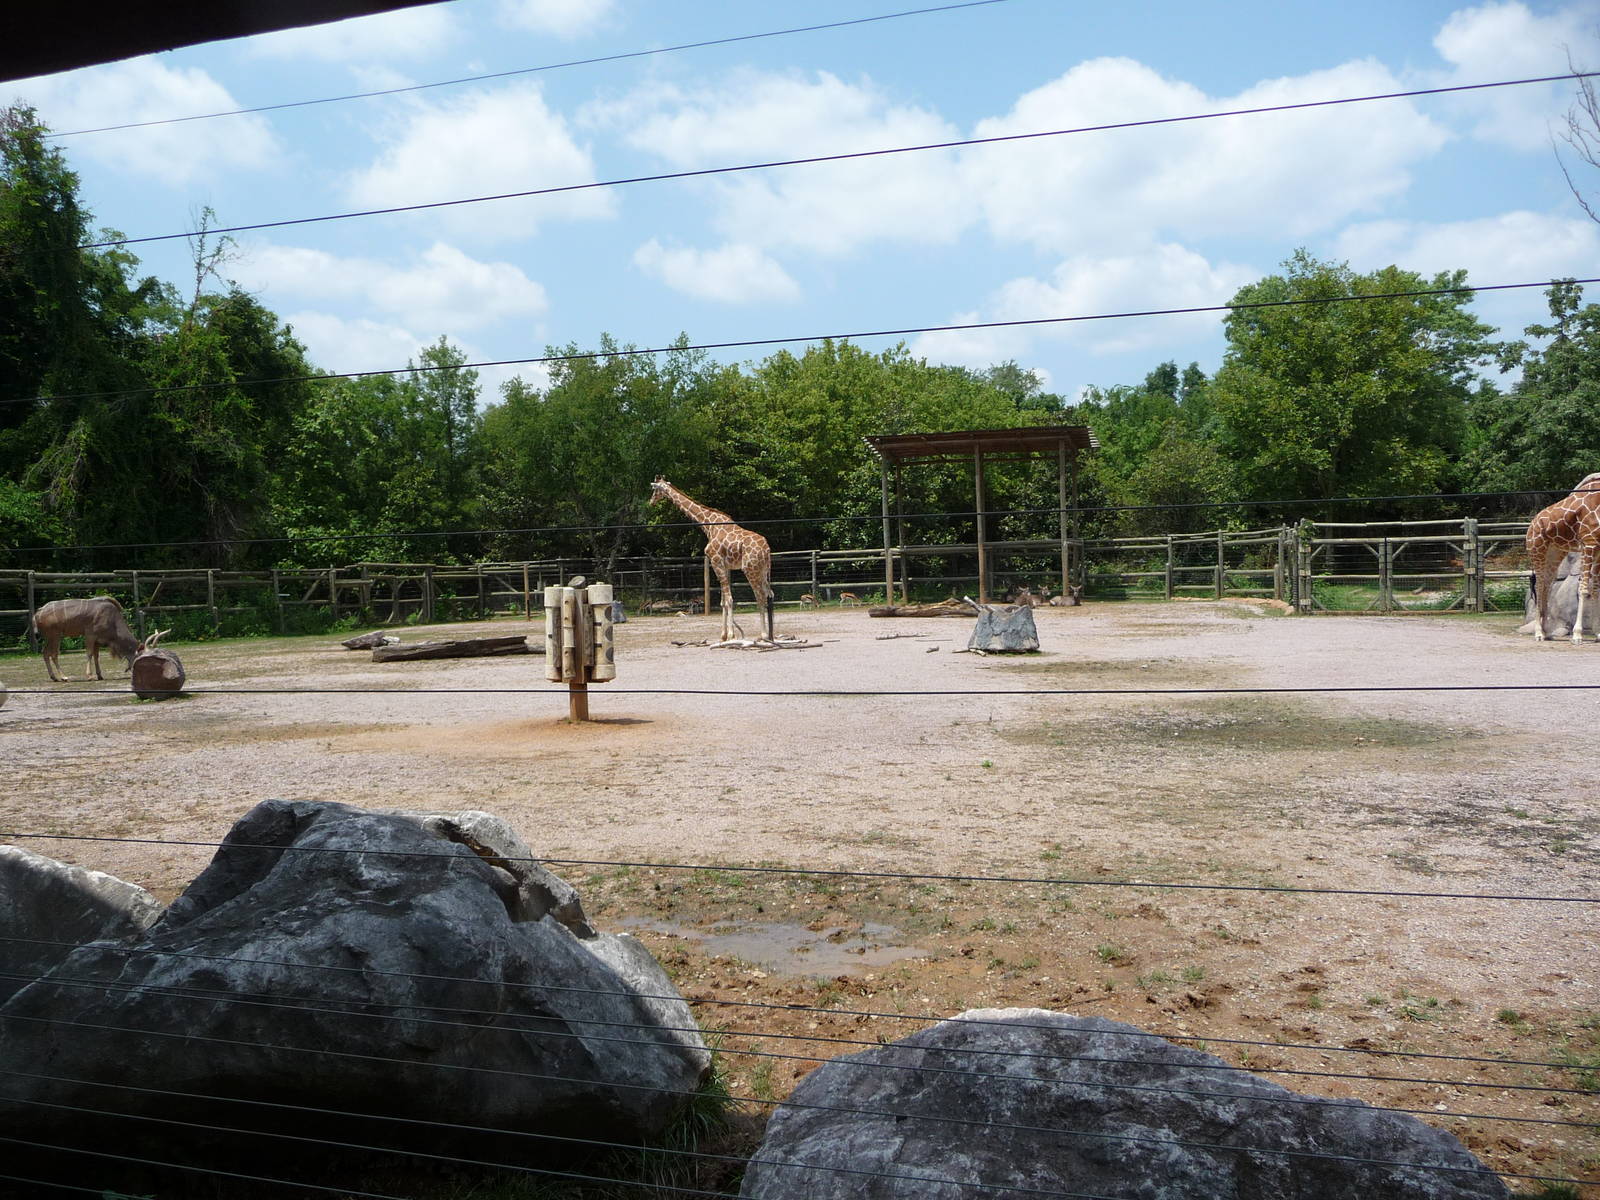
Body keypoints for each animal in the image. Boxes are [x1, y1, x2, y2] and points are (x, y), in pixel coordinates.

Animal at [32, 597, 165, 682]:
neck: (113, 619)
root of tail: (38, 613)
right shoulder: (90, 635)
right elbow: (89, 653)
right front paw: (90, 676)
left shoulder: (97, 640)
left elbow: (96, 656)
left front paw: (100, 675)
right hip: (56, 635)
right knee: (54, 654)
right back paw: (63, 677)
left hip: (50, 637)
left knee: (45, 652)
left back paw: (53, 677)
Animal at [649, 477, 774, 643]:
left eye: (655, 490)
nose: (651, 502)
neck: (708, 526)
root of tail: (766, 549)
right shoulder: (724, 566)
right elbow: (723, 602)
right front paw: (723, 636)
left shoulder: (716, 562)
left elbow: (729, 600)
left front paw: (731, 635)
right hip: (763, 570)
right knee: (769, 594)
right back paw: (770, 635)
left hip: (750, 570)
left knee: (760, 597)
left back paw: (764, 636)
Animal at [1525, 471, 1600, 644]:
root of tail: (1531, 524)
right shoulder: (1589, 543)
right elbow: (1583, 589)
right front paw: (1577, 635)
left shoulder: (1599, 547)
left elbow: (1596, 589)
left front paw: (1598, 633)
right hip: (1537, 550)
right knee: (1539, 586)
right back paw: (1538, 633)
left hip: (1554, 553)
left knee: (1547, 584)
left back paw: (1546, 631)